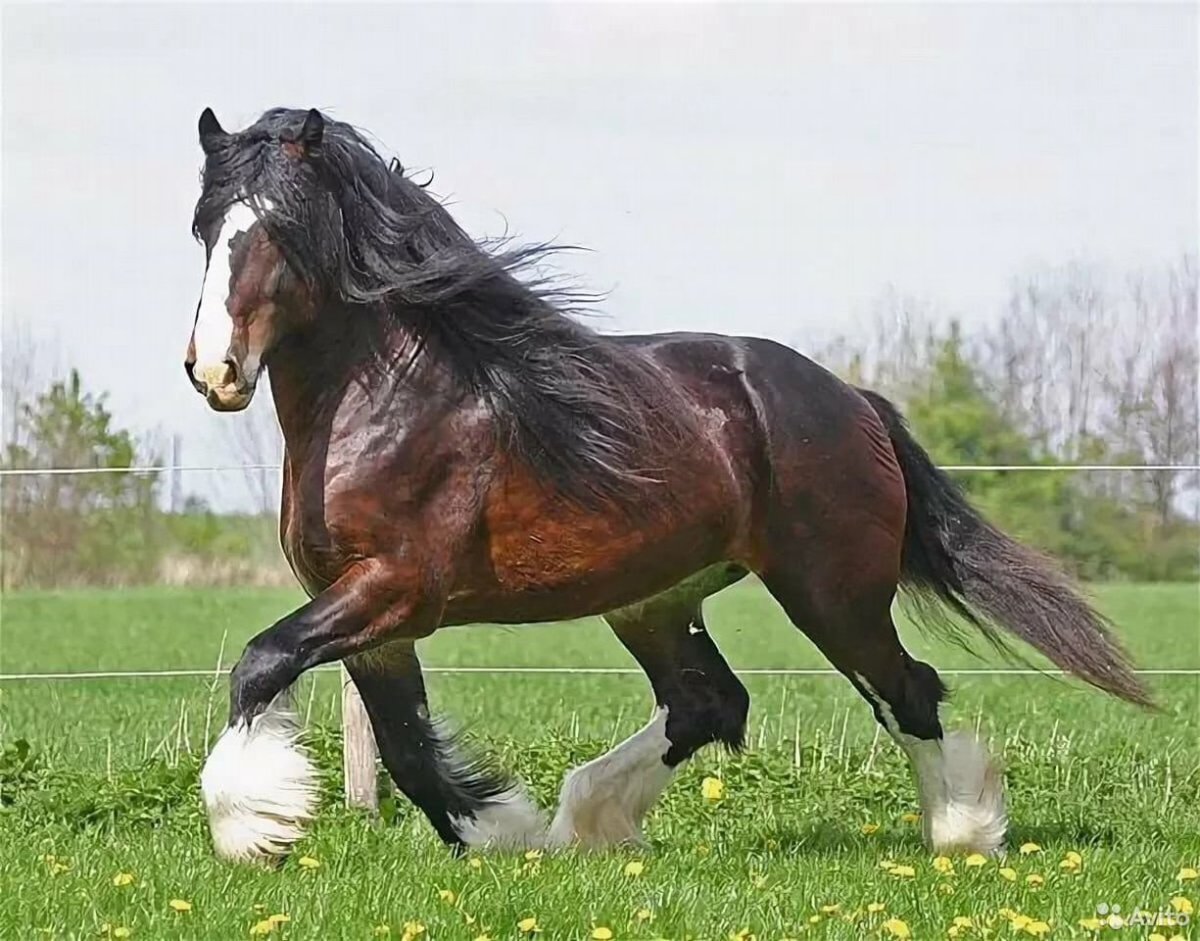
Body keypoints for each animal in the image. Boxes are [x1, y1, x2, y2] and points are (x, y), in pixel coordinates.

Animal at [184, 107, 1149, 864]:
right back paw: (586, 821)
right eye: (205, 227)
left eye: (278, 230)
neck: (391, 401)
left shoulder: (395, 587)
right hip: (654, 597)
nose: (214, 370)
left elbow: (264, 662)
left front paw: (251, 827)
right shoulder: (371, 616)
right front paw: (502, 832)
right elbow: (407, 746)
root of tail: (854, 401)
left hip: (831, 593)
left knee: (905, 690)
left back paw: (962, 833)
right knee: (708, 702)